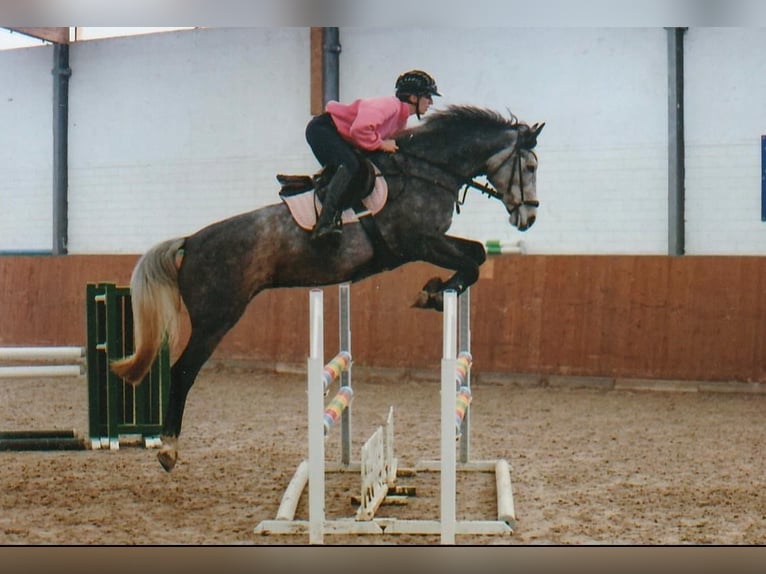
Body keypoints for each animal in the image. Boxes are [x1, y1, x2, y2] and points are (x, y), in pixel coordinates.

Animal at [112, 104, 544, 472]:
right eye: (529, 165)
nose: (528, 218)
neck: (427, 171)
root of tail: (190, 241)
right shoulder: (417, 243)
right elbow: (470, 262)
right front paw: (434, 292)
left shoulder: (430, 241)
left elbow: (476, 255)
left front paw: (436, 291)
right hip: (216, 318)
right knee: (183, 371)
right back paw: (168, 449)